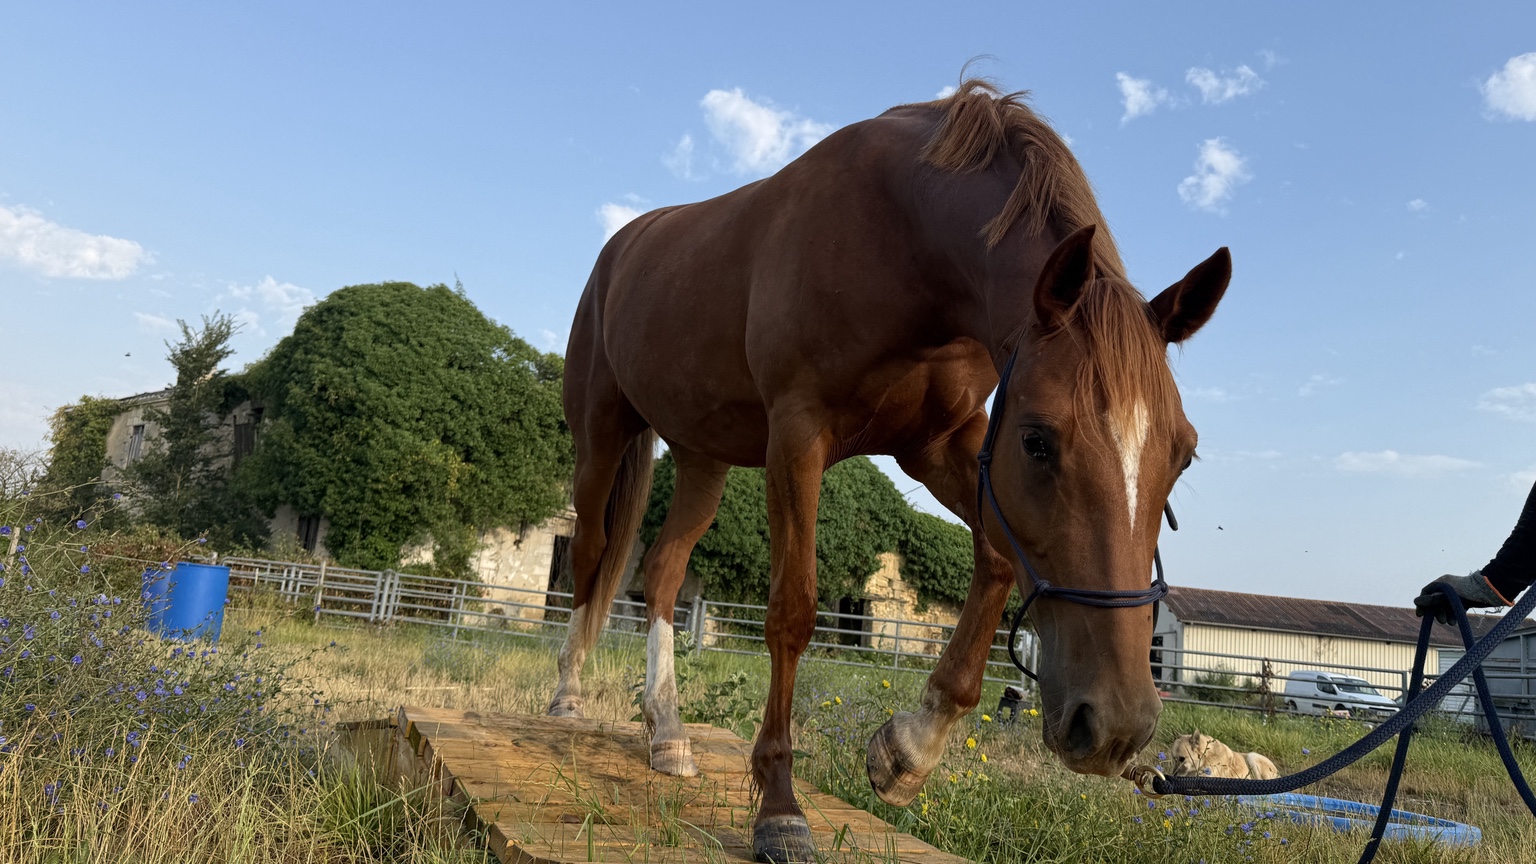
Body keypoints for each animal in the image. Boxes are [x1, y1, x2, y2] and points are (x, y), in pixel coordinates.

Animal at [551, 79, 1231, 862]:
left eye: (1182, 454)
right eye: (1037, 441)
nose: (1117, 725)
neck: (905, 238)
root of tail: (622, 247)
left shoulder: (942, 444)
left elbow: (999, 562)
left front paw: (907, 751)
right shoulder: (799, 436)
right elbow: (793, 610)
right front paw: (779, 807)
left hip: (702, 457)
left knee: (660, 573)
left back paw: (667, 733)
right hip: (601, 436)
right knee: (594, 554)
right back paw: (567, 697)